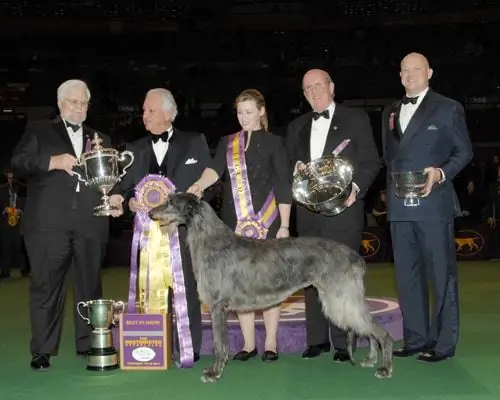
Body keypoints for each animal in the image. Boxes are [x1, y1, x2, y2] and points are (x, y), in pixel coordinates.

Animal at [150, 192, 392, 382]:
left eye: (170, 202)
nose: (150, 213)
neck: (211, 240)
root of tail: (357, 258)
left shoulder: (218, 306)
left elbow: (219, 344)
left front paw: (214, 372)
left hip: (342, 298)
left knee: (379, 331)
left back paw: (385, 367)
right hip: (341, 300)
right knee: (368, 329)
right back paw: (371, 359)